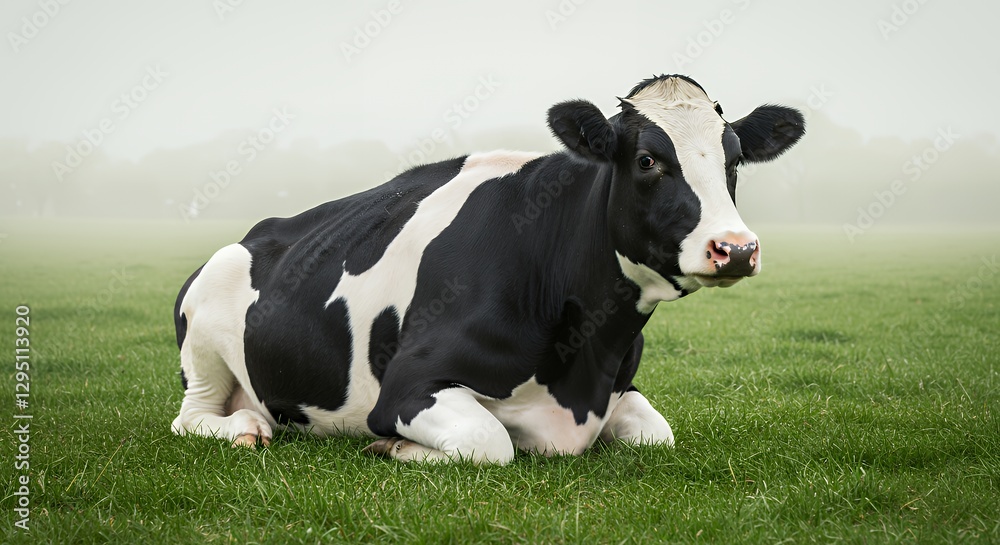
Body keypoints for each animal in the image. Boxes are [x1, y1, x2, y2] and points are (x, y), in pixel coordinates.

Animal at [171, 74, 804, 464]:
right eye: (648, 160)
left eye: (734, 160)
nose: (735, 248)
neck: (583, 366)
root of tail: (253, 232)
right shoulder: (407, 386)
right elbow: (490, 439)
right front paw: (393, 448)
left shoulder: (619, 388)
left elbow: (656, 433)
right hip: (203, 340)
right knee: (192, 416)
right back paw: (246, 429)